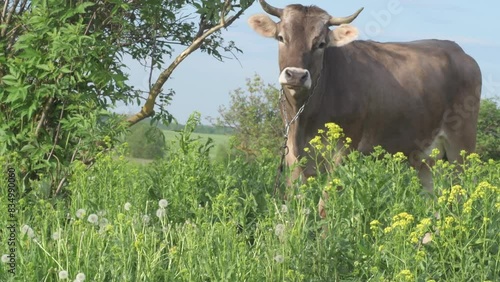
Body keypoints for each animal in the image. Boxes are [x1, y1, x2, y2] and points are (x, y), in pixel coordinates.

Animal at [248, 0, 482, 214]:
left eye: (321, 43)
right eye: (281, 37)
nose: (296, 75)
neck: (306, 116)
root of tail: (459, 52)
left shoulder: (345, 148)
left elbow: (325, 203)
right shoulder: (291, 150)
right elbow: (296, 201)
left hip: (461, 145)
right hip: (427, 157)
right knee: (433, 200)